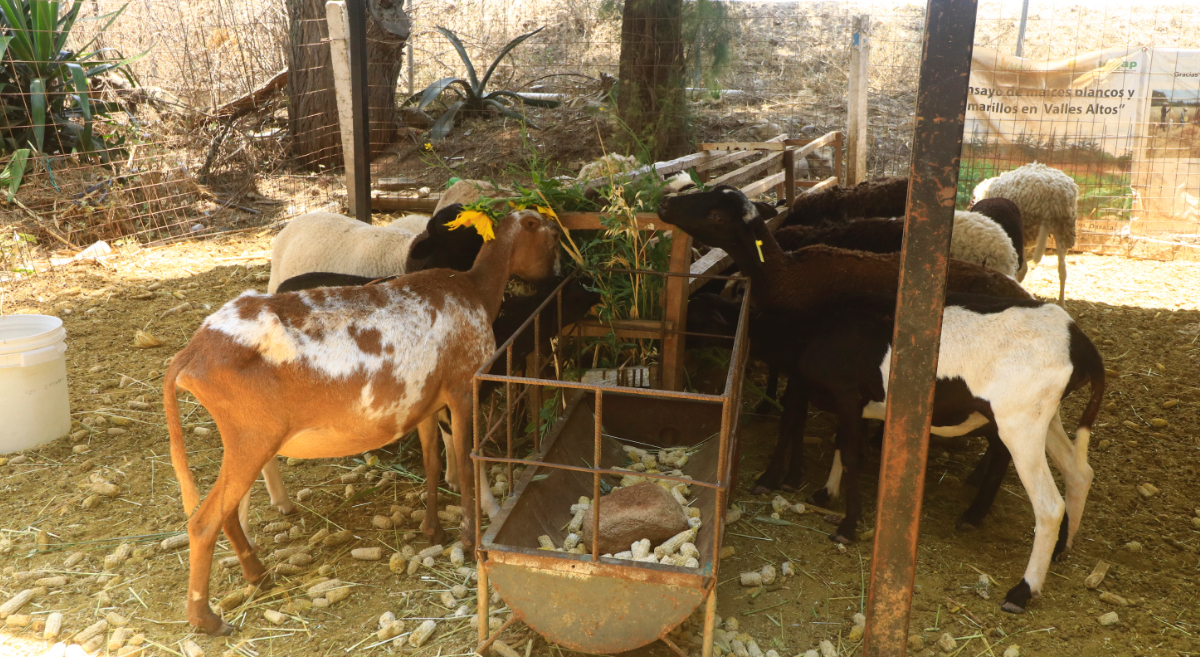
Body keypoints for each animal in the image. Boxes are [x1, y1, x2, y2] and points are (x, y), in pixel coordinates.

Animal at [162, 212, 559, 637]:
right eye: (550, 235)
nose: (559, 274)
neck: (475, 288)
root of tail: (191, 354)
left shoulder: (424, 401)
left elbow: (433, 463)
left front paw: (433, 530)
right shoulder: (461, 387)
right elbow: (467, 467)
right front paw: (469, 541)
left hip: (244, 439)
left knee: (226, 512)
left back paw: (257, 574)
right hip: (251, 436)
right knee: (204, 521)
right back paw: (207, 618)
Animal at [662, 185, 1099, 613]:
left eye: (717, 215)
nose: (665, 204)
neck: (784, 273)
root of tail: (1081, 346)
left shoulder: (818, 379)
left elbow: (798, 423)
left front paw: (783, 481)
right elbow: (834, 437)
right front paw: (817, 486)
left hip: (1018, 420)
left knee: (1045, 501)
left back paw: (1017, 582)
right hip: (1043, 417)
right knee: (1078, 473)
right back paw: (1062, 545)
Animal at [969, 160, 1084, 304]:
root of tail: (1053, 197)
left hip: (1026, 228)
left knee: (1023, 268)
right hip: (1064, 228)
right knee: (1062, 269)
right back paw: (1061, 303)